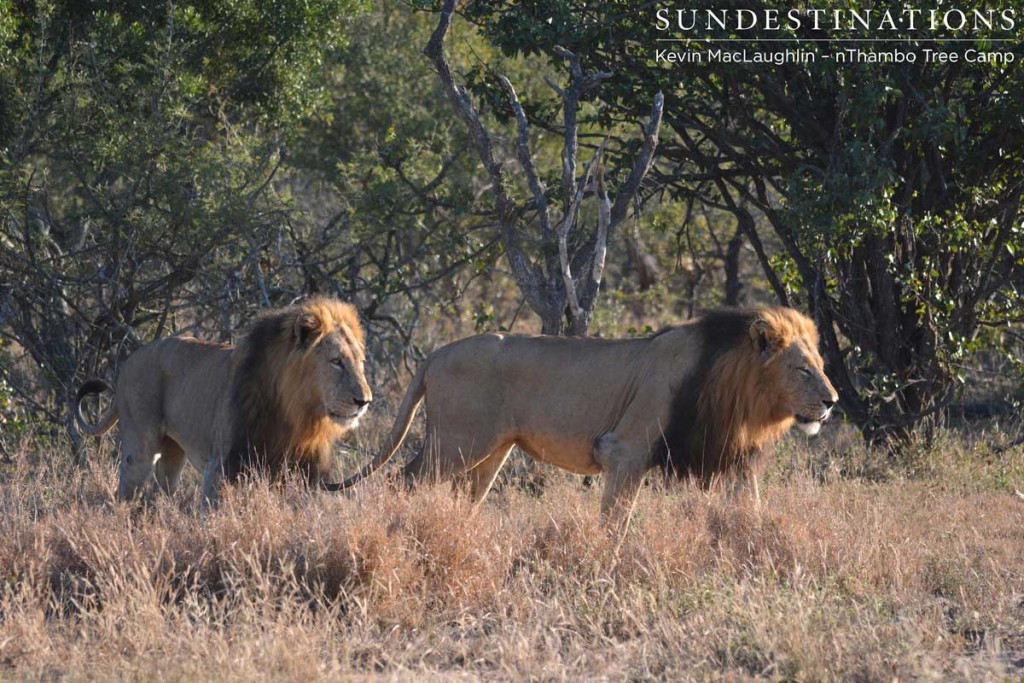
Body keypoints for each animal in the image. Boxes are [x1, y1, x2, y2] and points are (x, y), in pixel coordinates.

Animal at [74, 296, 372, 505]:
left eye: (360, 362)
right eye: (336, 362)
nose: (365, 401)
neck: (297, 413)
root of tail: (128, 363)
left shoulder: (304, 473)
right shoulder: (222, 466)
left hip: (172, 453)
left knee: (161, 491)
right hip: (139, 447)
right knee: (126, 491)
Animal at [339, 307, 835, 516]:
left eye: (822, 366)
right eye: (802, 369)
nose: (832, 402)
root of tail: (436, 354)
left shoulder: (733, 458)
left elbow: (750, 508)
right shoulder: (625, 450)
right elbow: (616, 518)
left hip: (489, 452)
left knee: (465, 496)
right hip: (456, 443)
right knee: (403, 480)